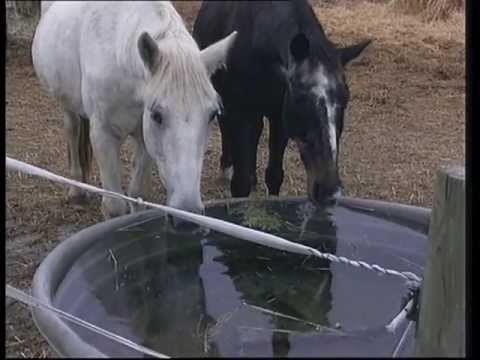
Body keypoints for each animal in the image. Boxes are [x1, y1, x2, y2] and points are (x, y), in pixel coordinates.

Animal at [31, 1, 237, 218]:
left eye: (212, 114)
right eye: (157, 115)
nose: (188, 212)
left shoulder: (145, 138)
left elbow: (137, 192)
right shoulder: (103, 136)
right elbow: (114, 206)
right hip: (67, 105)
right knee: (72, 131)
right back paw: (76, 190)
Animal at [193, 0, 370, 204]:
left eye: (345, 99)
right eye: (300, 98)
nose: (329, 191)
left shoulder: (280, 117)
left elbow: (274, 175)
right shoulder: (240, 113)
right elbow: (240, 182)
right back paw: (227, 167)